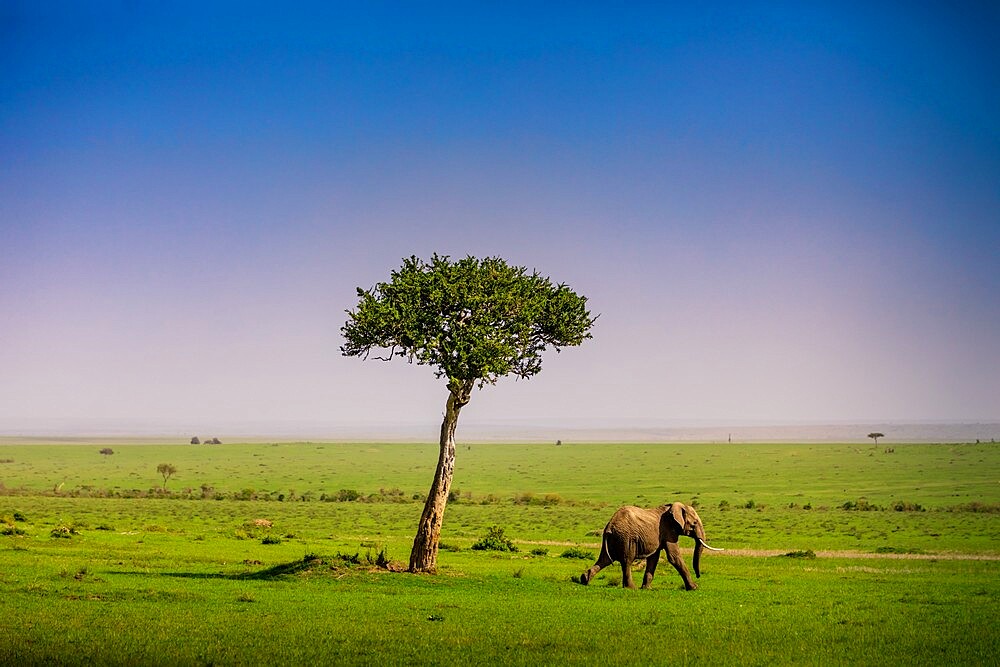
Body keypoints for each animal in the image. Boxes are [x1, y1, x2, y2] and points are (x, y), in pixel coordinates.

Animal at [580, 504, 720, 592]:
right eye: (694, 523)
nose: (698, 575)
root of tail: (610, 526)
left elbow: (654, 558)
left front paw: (647, 589)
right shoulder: (668, 530)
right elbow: (674, 556)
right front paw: (694, 588)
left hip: (614, 540)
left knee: (604, 559)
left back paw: (584, 579)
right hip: (627, 538)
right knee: (627, 561)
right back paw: (631, 588)